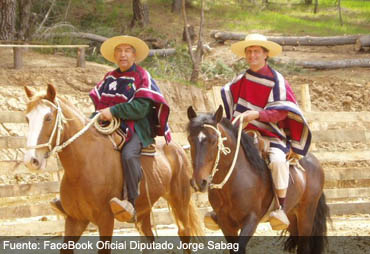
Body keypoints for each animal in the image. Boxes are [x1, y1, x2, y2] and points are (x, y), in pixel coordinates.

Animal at [23, 84, 202, 253]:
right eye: (27, 119)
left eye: (48, 118)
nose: (31, 160)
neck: (83, 166)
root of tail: (177, 148)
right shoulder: (75, 219)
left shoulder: (105, 219)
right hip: (143, 209)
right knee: (148, 239)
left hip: (180, 199)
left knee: (184, 232)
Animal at [188, 105, 330, 254]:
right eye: (190, 139)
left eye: (214, 141)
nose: (199, 181)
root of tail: (314, 162)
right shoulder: (225, 223)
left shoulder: (251, 220)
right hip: (292, 214)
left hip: (306, 213)